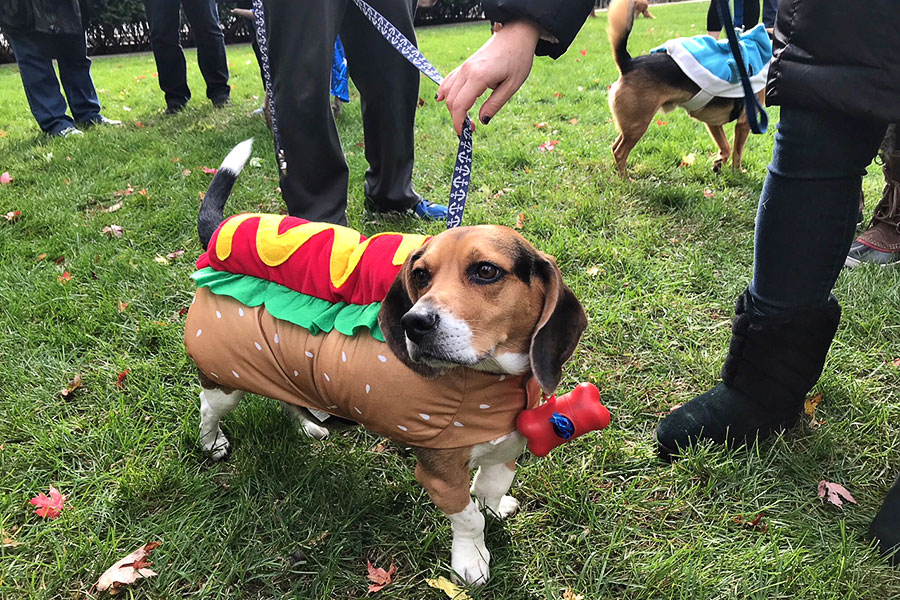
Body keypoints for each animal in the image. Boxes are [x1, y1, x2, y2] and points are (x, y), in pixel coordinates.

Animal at [604, 0, 768, 176]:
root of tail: (628, 63)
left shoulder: (713, 122)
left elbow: (725, 147)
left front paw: (718, 163)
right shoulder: (744, 123)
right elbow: (737, 152)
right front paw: (737, 172)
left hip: (630, 126)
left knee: (614, 147)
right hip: (638, 124)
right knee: (620, 152)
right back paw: (626, 179)